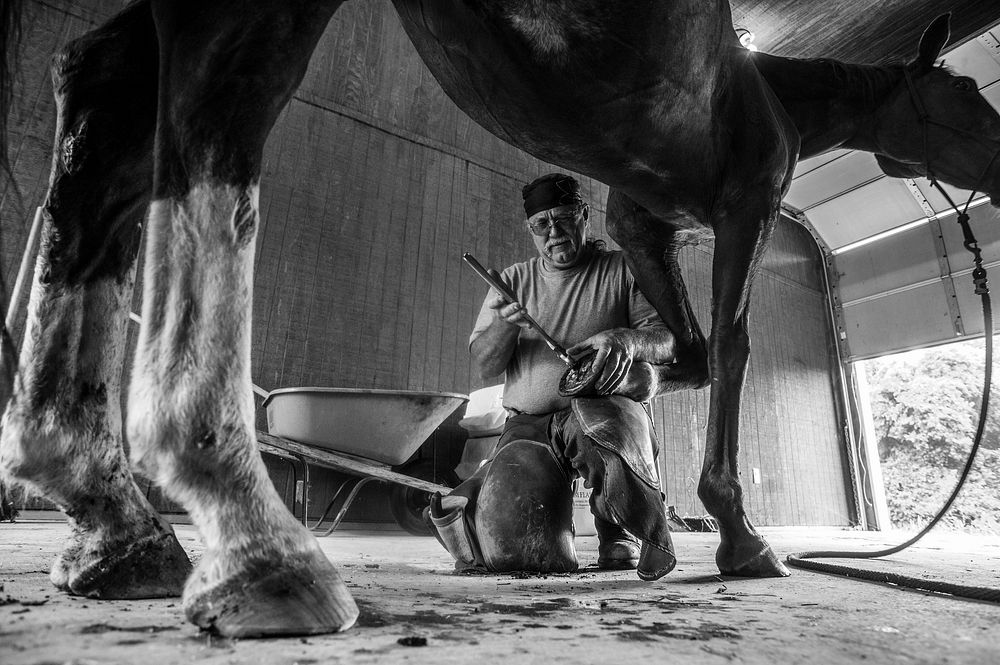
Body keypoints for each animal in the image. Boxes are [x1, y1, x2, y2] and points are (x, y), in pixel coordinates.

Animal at [0, 0, 996, 640]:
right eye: (964, 97)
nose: (996, 165)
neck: (767, 91)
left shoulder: (643, 219)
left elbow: (685, 352)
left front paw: (632, 458)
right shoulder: (745, 204)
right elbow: (731, 346)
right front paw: (741, 536)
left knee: (102, 86)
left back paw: (112, 522)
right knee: (207, 109)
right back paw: (257, 548)